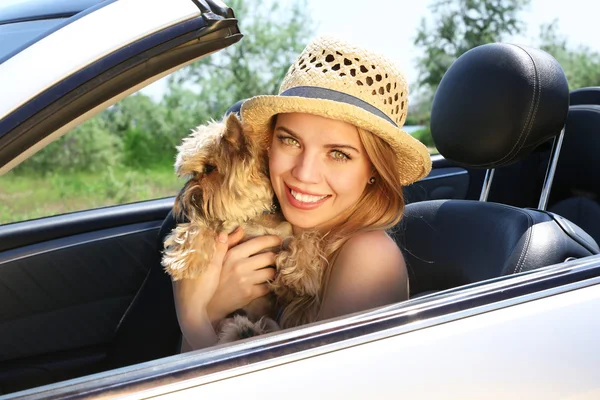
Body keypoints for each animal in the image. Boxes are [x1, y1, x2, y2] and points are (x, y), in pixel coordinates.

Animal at [162, 113, 326, 344]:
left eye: (209, 169)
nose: (185, 198)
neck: (254, 215)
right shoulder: (221, 226)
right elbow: (198, 228)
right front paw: (185, 261)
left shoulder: (285, 234)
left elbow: (304, 240)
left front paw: (302, 275)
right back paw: (242, 330)